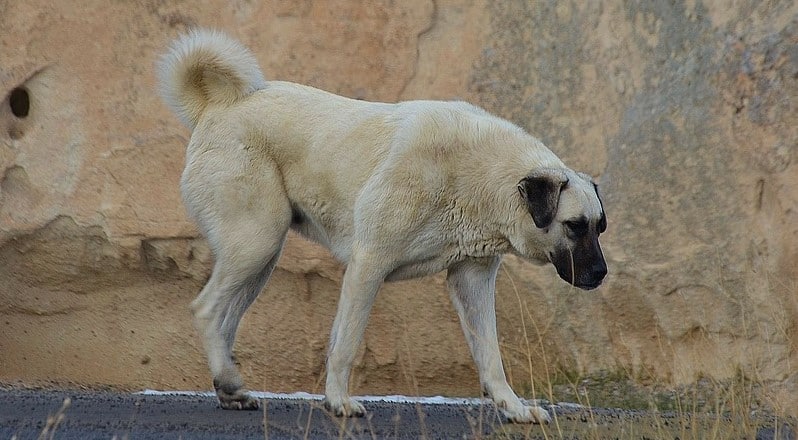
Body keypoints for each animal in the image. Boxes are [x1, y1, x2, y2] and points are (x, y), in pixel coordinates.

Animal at [156, 29, 608, 424]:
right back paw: (229, 380)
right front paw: (339, 402)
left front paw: (513, 408)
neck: (483, 173)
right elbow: (345, 344)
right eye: (574, 225)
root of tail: (218, 107)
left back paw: (229, 386)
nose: (602, 275)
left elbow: (491, 356)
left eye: (600, 227)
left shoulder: (472, 280)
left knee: (225, 319)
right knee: (206, 309)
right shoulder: (368, 264)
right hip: (256, 243)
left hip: (259, 258)